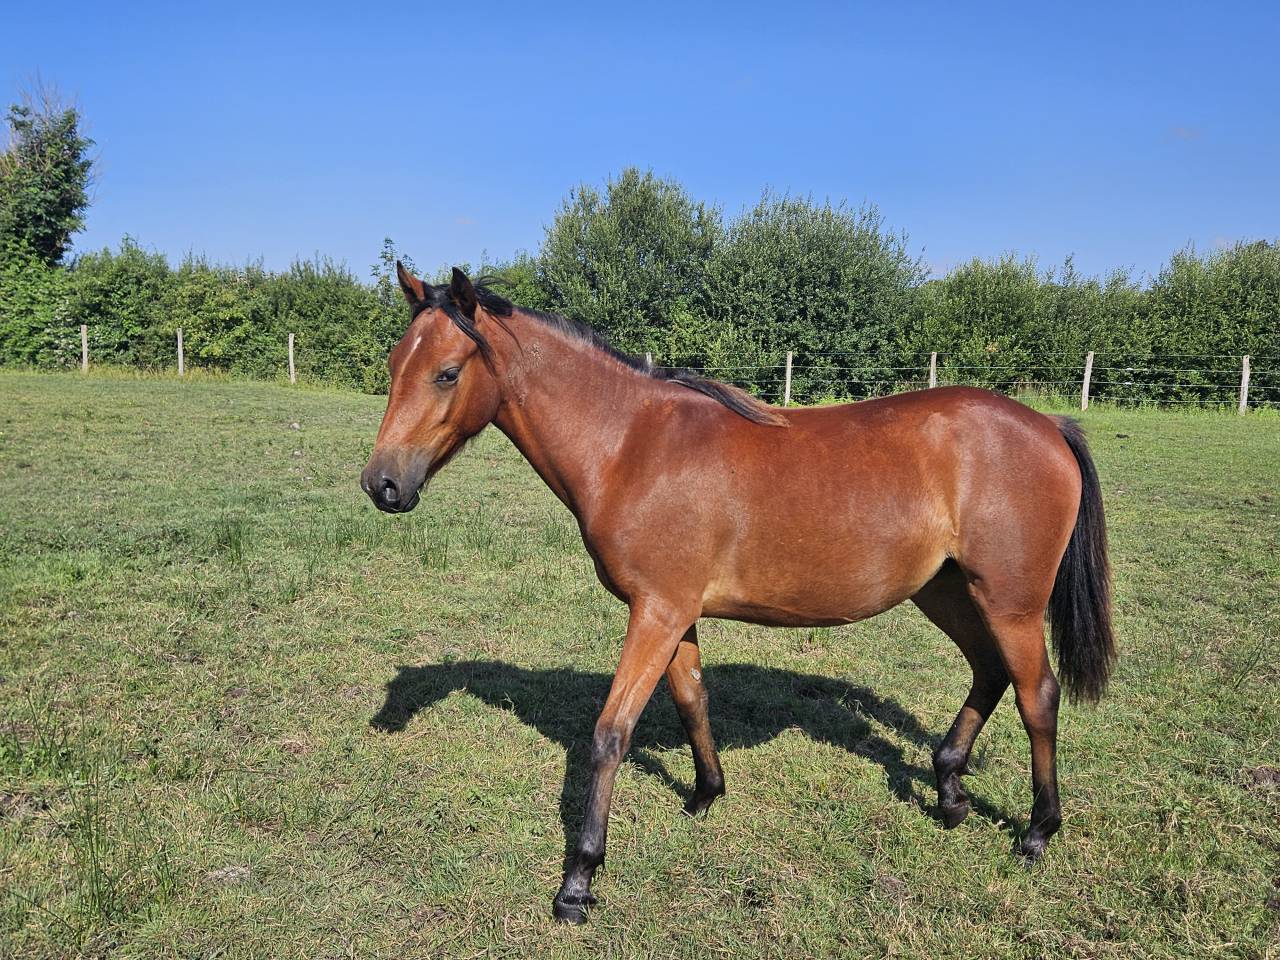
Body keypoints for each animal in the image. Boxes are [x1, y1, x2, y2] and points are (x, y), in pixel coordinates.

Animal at [361, 264, 1115, 925]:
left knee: (1036, 694)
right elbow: (692, 699)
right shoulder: (674, 612)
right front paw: (705, 795)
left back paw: (1038, 831)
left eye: (447, 372)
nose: (382, 484)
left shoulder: (657, 613)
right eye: (395, 365)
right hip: (948, 592)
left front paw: (579, 882)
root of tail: (1047, 426)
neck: (630, 445)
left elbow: (610, 734)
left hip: (1009, 602)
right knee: (989, 672)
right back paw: (951, 792)